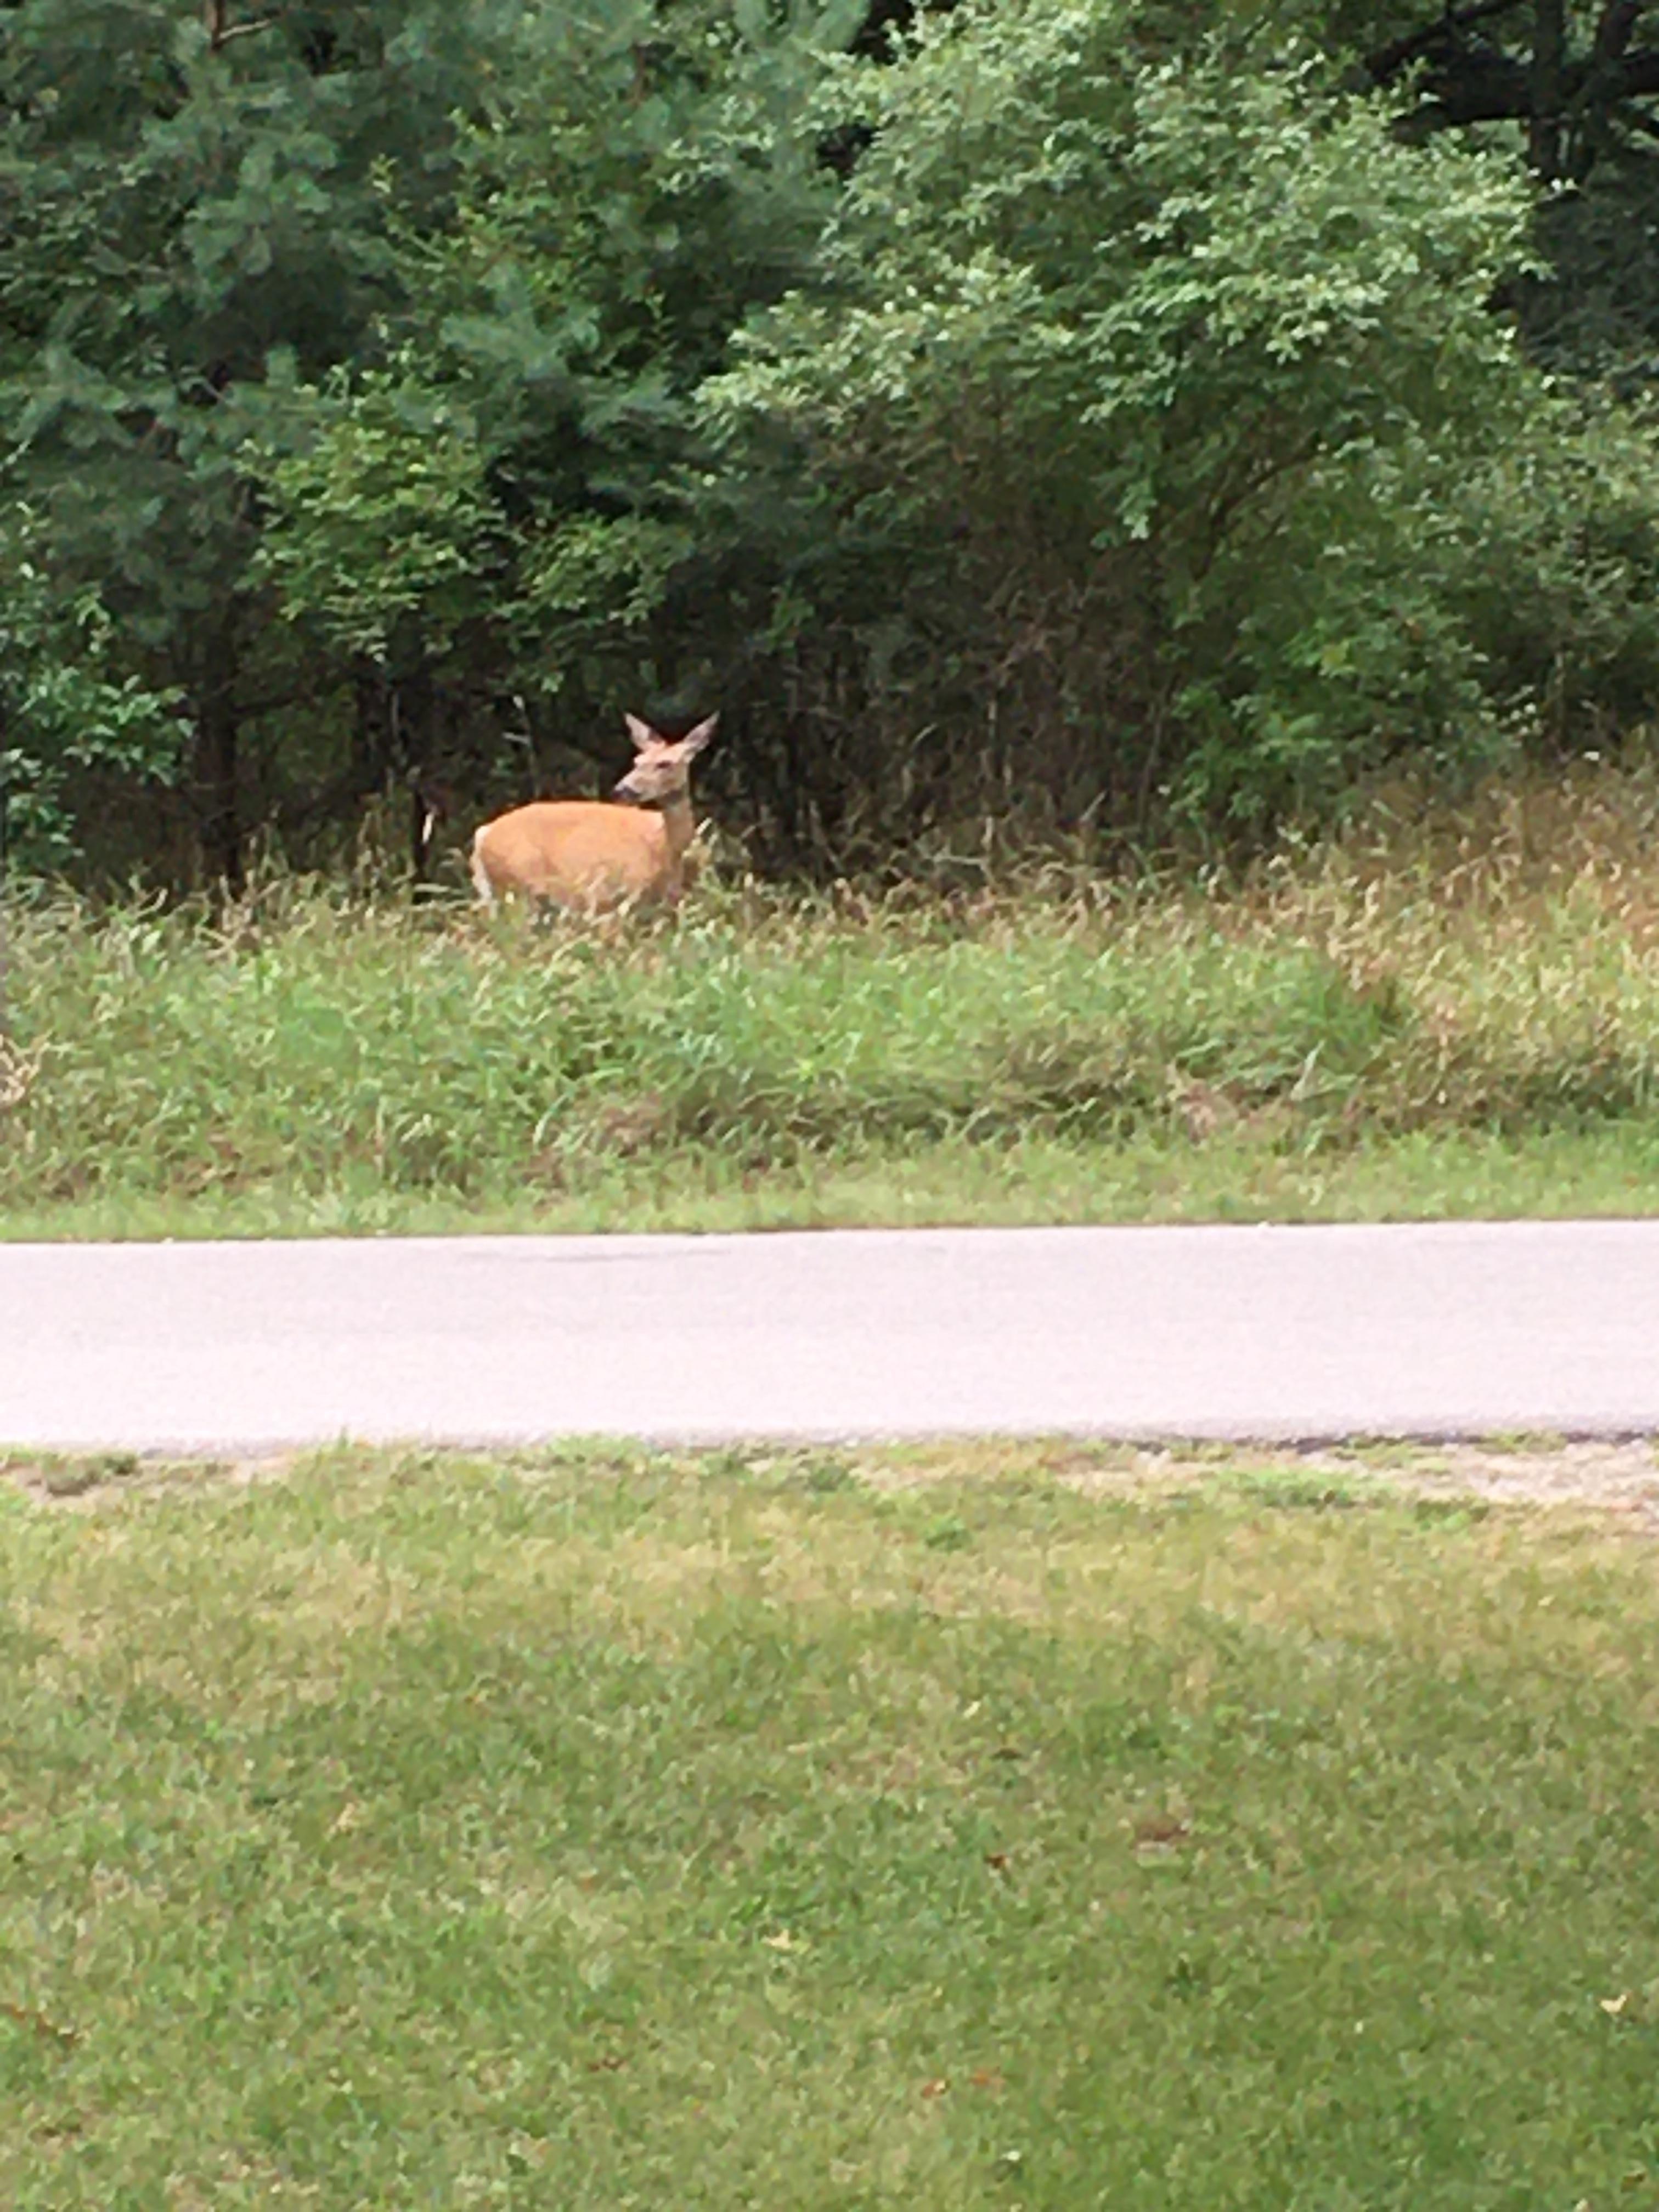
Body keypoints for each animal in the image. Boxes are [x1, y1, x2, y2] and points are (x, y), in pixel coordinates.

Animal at [468, 712, 718, 915]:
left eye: (665, 764)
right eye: (637, 761)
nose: (623, 789)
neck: (666, 853)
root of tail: (483, 835)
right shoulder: (608, 896)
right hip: (522, 884)